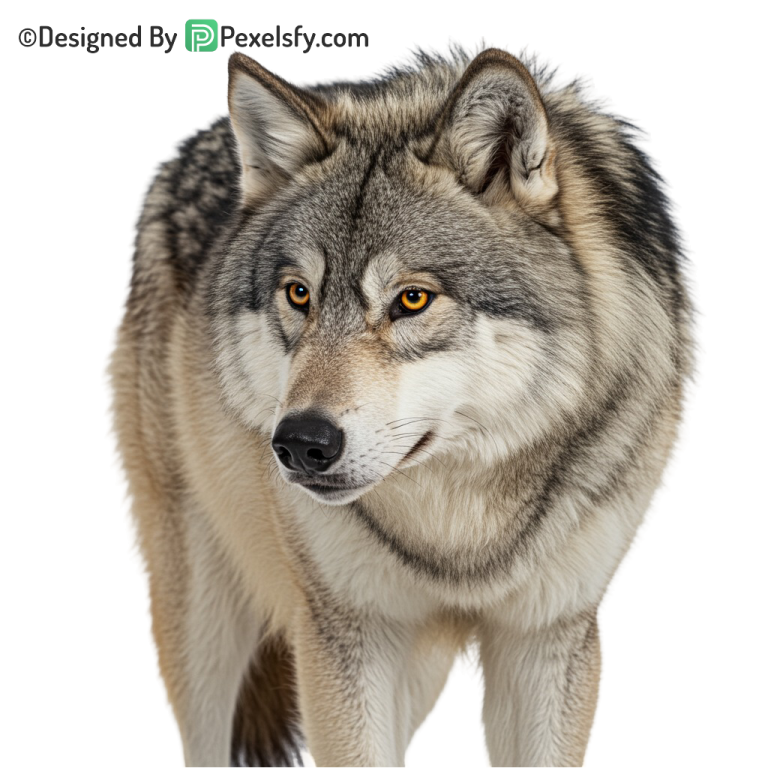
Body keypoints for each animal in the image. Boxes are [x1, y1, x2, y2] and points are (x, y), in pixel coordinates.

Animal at [102, 39, 700, 767]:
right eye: (299, 294)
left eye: (411, 299)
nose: (301, 442)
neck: (460, 532)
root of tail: (191, 142)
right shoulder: (345, 636)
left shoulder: (549, 638)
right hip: (203, 620)